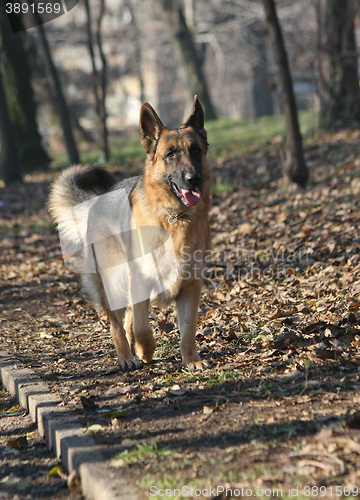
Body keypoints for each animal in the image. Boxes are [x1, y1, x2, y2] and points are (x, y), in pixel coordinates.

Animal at [49, 96, 210, 372]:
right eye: (170, 154)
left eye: (195, 150)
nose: (193, 179)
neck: (172, 217)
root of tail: (97, 201)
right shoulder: (140, 280)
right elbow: (143, 328)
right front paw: (145, 351)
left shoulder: (190, 286)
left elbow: (188, 330)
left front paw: (191, 360)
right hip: (114, 282)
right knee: (117, 324)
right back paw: (126, 357)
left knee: (127, 321)